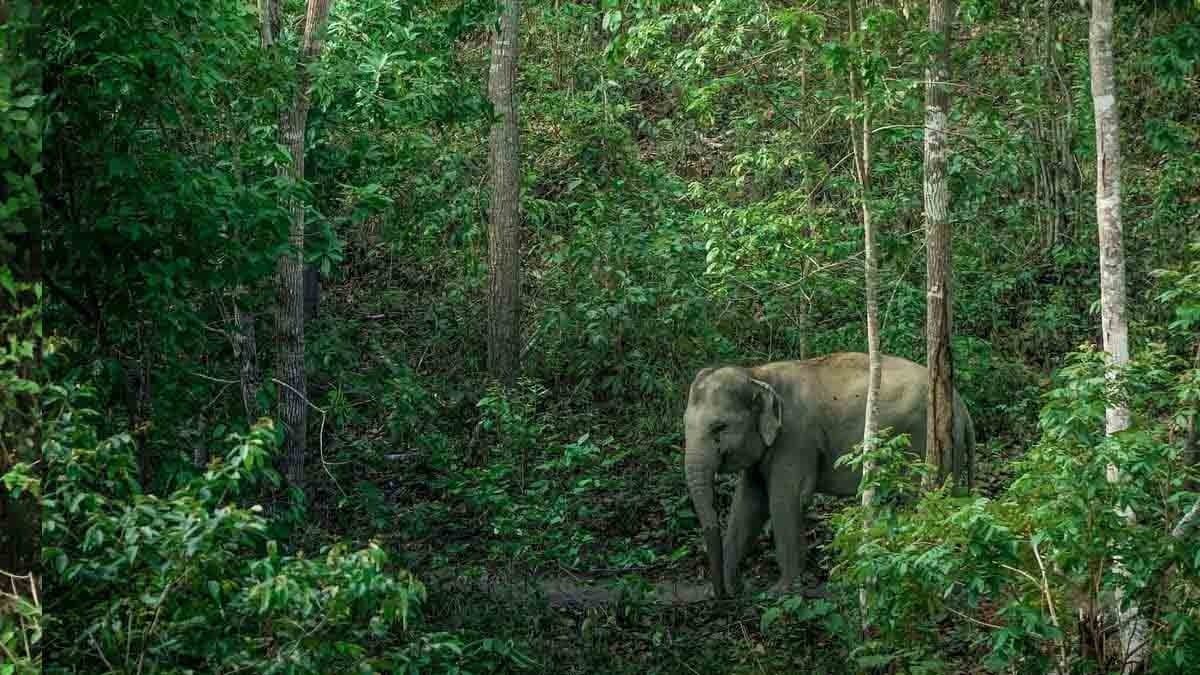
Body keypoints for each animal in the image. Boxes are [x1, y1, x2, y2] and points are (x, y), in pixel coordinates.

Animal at [683, 352, 975, 598]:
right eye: (684, 425)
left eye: (719, 427)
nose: (723, 595)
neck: (757, 374)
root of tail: (962, 406)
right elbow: (747, 505)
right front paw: (730, 590)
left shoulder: (796, 438)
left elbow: (784, 500)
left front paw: (781, 593)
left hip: (922, 443)